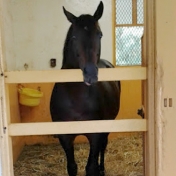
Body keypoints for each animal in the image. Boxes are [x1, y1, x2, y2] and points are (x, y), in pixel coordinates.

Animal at [50, 1, 120, 176]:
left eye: (99, 34)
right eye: (74, 36)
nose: (90, 74)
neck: (75, 97)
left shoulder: (95, 135)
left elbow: (91, 167)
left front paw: (97, 169)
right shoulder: (65, 138)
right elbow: (72, 167)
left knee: (104, 145)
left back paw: (102, 169)